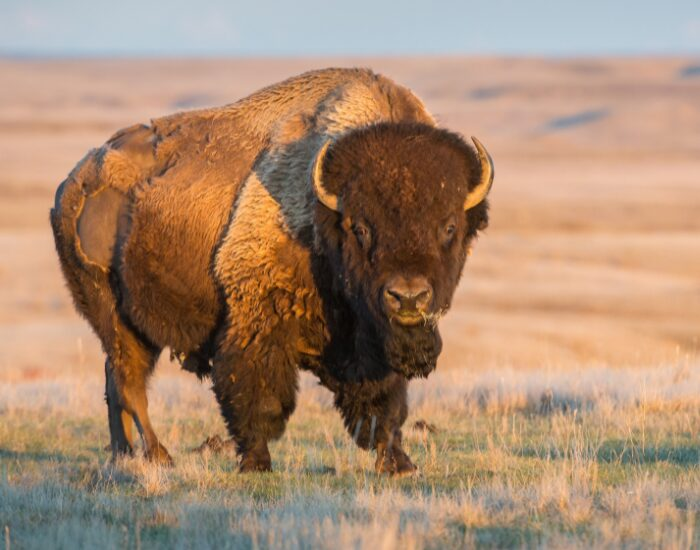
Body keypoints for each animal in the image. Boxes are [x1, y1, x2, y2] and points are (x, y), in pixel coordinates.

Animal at [51, 68, 493, 474]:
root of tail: (73, 182)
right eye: (360, 227)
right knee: (129, 384)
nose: (408, 297)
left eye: (449, 227)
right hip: (113, 316)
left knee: (115, 384)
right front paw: (256, 463)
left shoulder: (372, 345)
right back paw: (160, 456)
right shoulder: (257, 321)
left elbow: (384, 404)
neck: (323, 216)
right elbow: (257, 395)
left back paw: (123, 455)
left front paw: (399, 464)